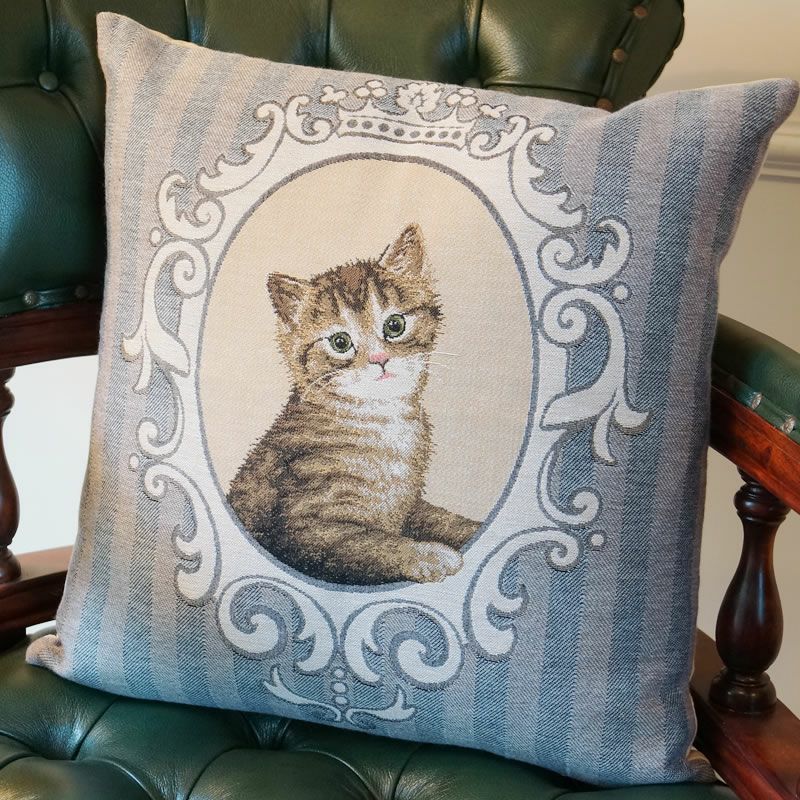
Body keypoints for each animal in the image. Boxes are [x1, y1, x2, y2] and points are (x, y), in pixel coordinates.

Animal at [227, 223, 480, 585]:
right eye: (340, 342)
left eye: (395, 325)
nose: (380, 359)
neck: (382, 421)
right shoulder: (305, 530)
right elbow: (372, 542)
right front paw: (429, 554)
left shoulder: (408, 505)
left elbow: (441, 518)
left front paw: (472, 529)